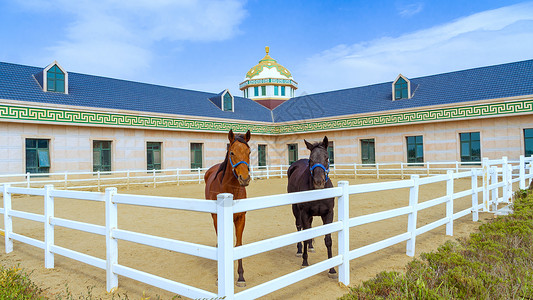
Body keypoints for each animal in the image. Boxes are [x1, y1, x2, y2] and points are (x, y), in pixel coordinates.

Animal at [206, 128, 251, 286]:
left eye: (249, 152)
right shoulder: (217, 218)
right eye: (232, 153)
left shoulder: (240, 218)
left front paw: (241, 277)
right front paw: (220, 278)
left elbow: (238, 245)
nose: (245, 178)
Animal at [286, 136, 336, 278]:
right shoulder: (304, 213)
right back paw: (299, 250)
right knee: (299, 227)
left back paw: (310, 247)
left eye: (327, 158)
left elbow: (328, 239)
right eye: (311, 159)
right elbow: (305, 234)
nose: (318, 182)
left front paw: (332, 269)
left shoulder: (328, 214)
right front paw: (305, 261)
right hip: (295, 209)